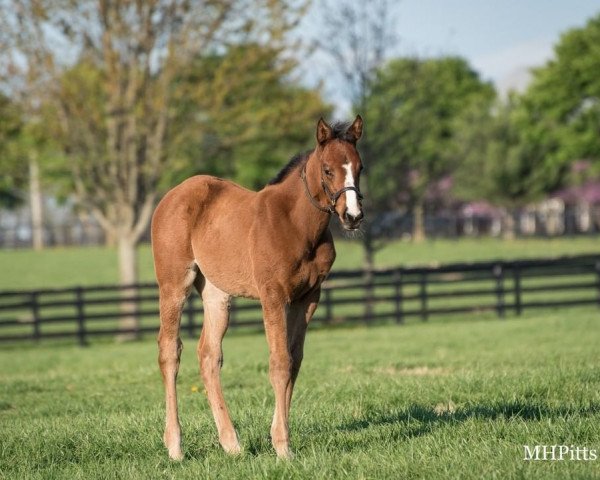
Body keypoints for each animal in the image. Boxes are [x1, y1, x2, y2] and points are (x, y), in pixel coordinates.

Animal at [150, 115, 366, 458]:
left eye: (360, 167)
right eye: (328, 169)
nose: (353, 216)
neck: (296, 224)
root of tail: (173, 195)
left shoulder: (308, 298)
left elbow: (294, 360)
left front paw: (278, 437)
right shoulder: (273, 297)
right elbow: (279, 363)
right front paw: (283, 447)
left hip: (216, 294)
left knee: (209, 355)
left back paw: (231, 443)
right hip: (173, 284)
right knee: (170, 350)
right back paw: (175, 446)